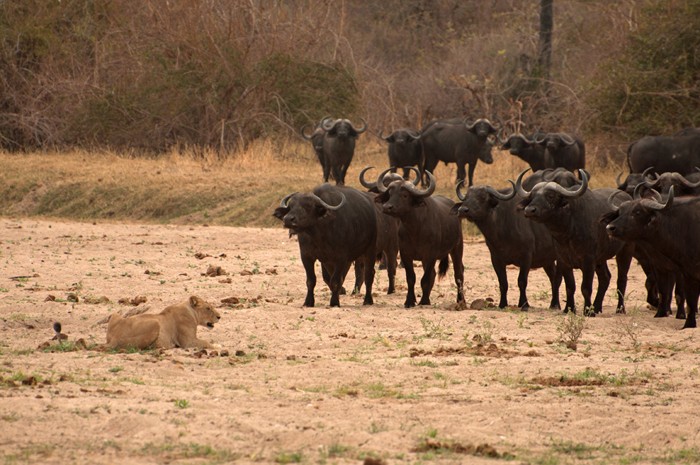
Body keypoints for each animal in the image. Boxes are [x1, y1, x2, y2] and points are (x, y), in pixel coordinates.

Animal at [516, 169, 636, 314]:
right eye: (532, 196)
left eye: (550, 195)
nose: (530, 210)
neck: (568, 231)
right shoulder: (563, 260)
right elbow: (570, 286)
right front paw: (569, 308)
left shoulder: (588, 260)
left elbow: (586, 287)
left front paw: (587, 311)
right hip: (601, 258)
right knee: (605, 278)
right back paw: (597, 307)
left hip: (626, 250)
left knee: (622, 278)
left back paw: (619, 309)